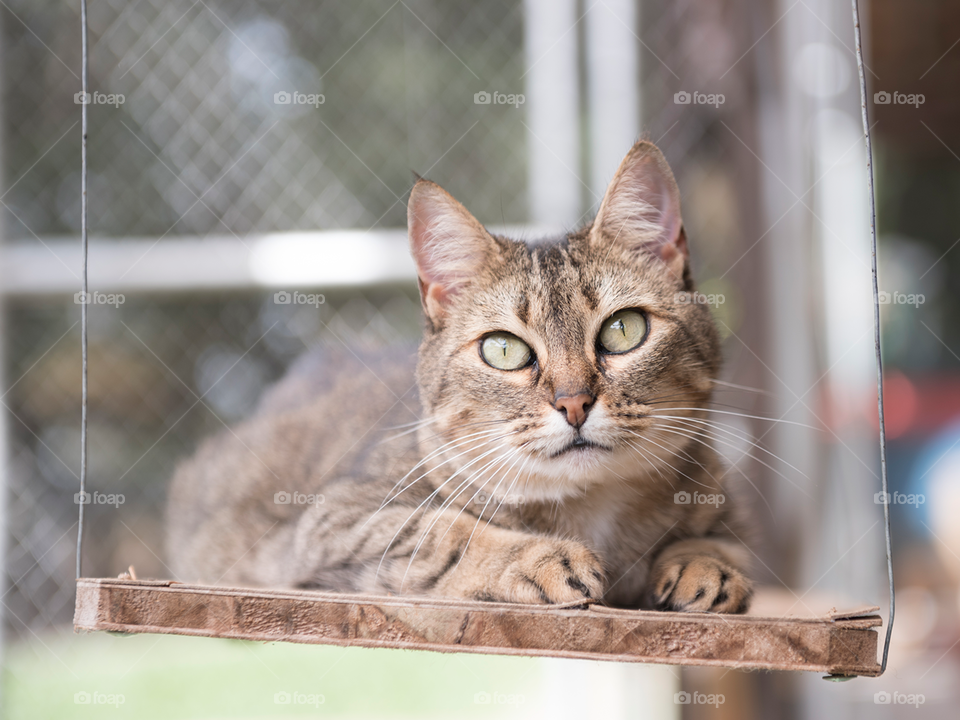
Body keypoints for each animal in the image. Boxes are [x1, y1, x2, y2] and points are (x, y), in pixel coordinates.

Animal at [172, 141, 756, 612]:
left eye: (623, 330)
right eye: (504, 349)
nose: (574, 403)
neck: (593, 509)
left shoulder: (723, 501)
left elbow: (729, 543)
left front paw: (704, 564)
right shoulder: (332, 526)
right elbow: (442, 531)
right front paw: (538, 558)